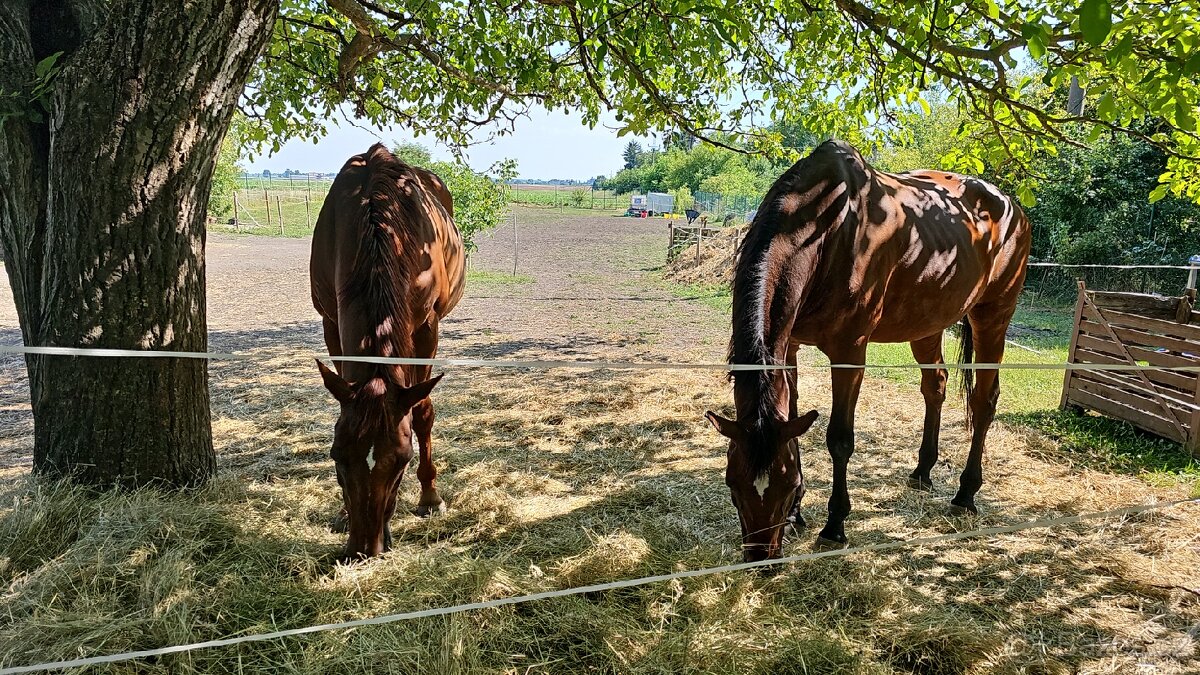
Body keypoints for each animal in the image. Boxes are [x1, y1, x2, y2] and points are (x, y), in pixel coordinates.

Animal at [309, 141, 463, 557]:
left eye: (401, 461)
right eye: (336, 455)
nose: (363, 549)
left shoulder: (426, 328)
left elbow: (422, 411)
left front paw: (430, 497)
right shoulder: (331, 322)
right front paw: (343, 514)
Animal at [700, 139, 1032, 559]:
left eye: (786, 484)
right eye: (733, 484)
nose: (761, 559)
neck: (825, 227)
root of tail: (1012, 207)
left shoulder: (850, 353)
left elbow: (840, 440)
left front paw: (834, 525)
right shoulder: (789, 348)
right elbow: (793, 421)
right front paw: (796, 518)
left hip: (992, 318)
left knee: (984, 402)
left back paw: (966, 493)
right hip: (927, 324)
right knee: (935, 386)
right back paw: (923, 471)